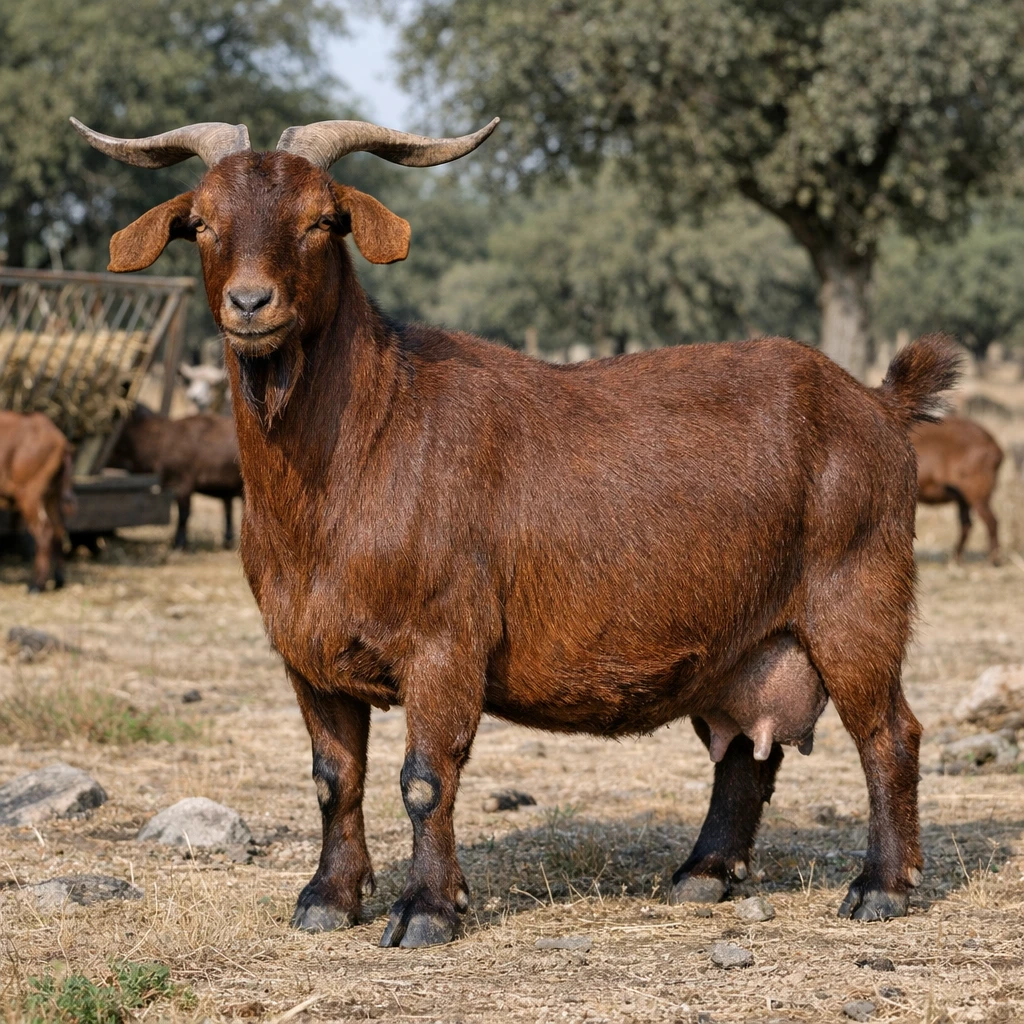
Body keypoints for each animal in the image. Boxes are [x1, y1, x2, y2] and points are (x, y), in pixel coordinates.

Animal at [0, 412, 75, 591]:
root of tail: (60, 440)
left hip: (29, 494)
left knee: (45, 530)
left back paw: (36, 585)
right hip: (51, 495)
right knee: (58, 527)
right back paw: (58, 580)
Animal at [911, 416, 1003, 564]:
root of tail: (995, 448)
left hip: (977, 493)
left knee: (991, 521)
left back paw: (994, 560)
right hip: (963, 497)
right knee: (967, 524)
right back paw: (956, 558)